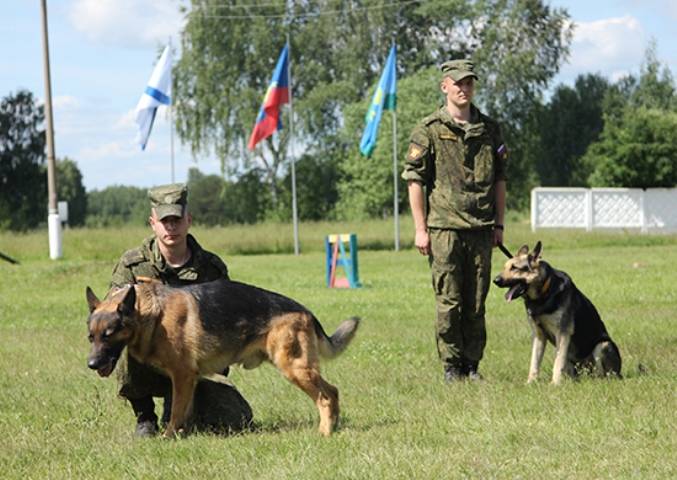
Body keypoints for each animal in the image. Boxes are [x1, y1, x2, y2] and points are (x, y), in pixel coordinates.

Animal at [86, 278, 360, 438]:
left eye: (109, 335)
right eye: (91, 337)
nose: (91, 364)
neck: (152, 313)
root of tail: (307, 312)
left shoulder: (182, 375)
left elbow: (176, 411)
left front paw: (170, 437)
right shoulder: (188, 379)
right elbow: (183, 410)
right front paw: (185, 434)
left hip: (294, 367)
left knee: (325, 395)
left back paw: (324, 431)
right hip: (300, 368)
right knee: (333, 391)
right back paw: (333, 425)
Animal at [492, 242, 616, 384]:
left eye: (514, 268)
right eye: (505, 267)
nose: (495, 280)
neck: (542, 295)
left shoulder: (563, 333)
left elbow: (558, 362)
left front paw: (555, 383)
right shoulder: (539, 336)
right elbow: (534, 362)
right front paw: (531, 382)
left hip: (602, 345)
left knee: (601, 374)